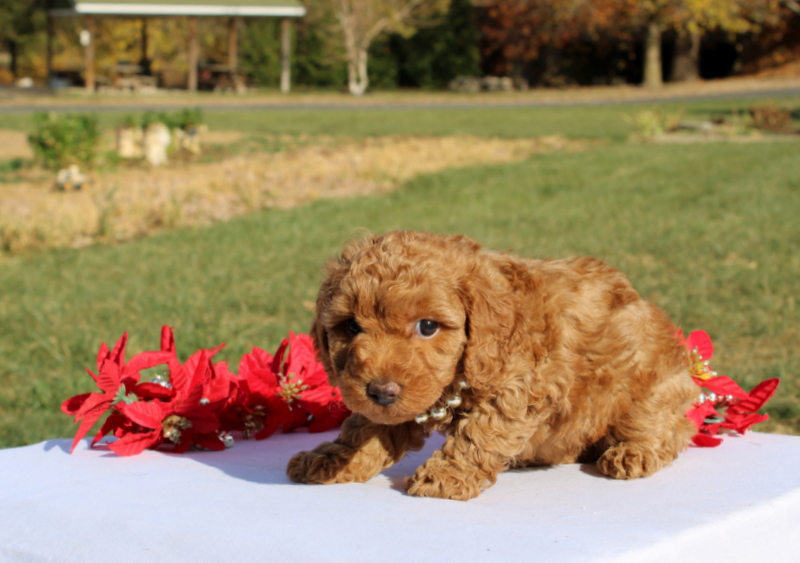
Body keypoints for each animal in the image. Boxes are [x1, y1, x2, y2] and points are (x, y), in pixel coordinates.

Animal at [284, 231, 696, 500]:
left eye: (428, 326)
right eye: (352, 327)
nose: (381, 391)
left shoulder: (521, 387)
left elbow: (481, 432)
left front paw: (446, 475)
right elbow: (364, 429)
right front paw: (330, 459)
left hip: (649, 380)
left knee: (667, 427)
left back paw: (635, 452)